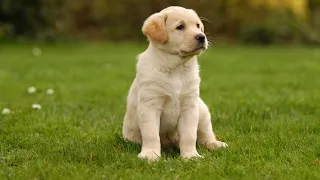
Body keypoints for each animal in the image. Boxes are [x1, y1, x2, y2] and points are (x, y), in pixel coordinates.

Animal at [122, 5, 228, 160]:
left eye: (198, 25)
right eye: (180, 27)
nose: (201, 37)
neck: (176, 68)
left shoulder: (189, 106)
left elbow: (189, 136)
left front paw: (191, 156)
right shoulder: (150, 105)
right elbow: (151, 134)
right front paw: (150, 154)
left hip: (202, 110)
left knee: (205, 134)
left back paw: (215, 144)